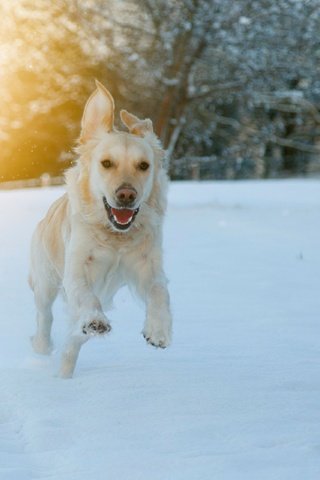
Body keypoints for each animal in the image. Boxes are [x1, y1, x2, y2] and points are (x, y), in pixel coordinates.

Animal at [28, 80, 171, 376]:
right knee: (44, 317)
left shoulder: (148, 264)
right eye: (106, 163)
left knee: (73, 338)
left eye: (144, 165)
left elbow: (159, 291)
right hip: (45, 281)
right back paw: (44, 347)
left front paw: (158, 330)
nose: (126, 195)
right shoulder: (77, 267)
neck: (116, 236)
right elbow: (86, 297)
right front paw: (95, 321)